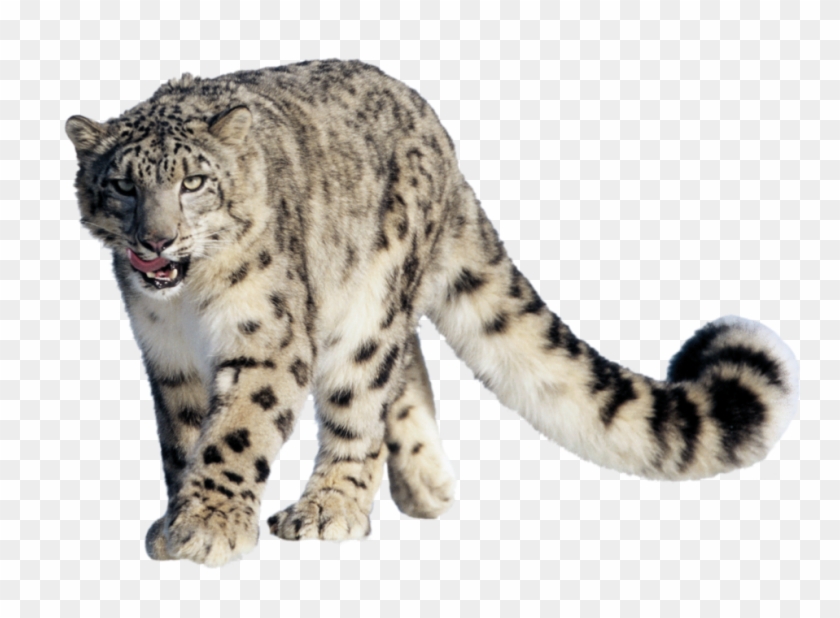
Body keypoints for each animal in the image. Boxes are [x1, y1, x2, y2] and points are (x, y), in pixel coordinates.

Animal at [65, 59, 799, 567]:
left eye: (193, 183)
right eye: (122, 184)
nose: (156, 241)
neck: (189, 307)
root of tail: (438, 135)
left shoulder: (266, 339)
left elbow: (236, 432)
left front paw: (210, 526)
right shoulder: (167, 357)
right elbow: (184, 436)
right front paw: (178, 521)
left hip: (371, 301)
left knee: (364, 392)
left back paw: (331, 507)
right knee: (406, 363)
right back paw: (424, 483)